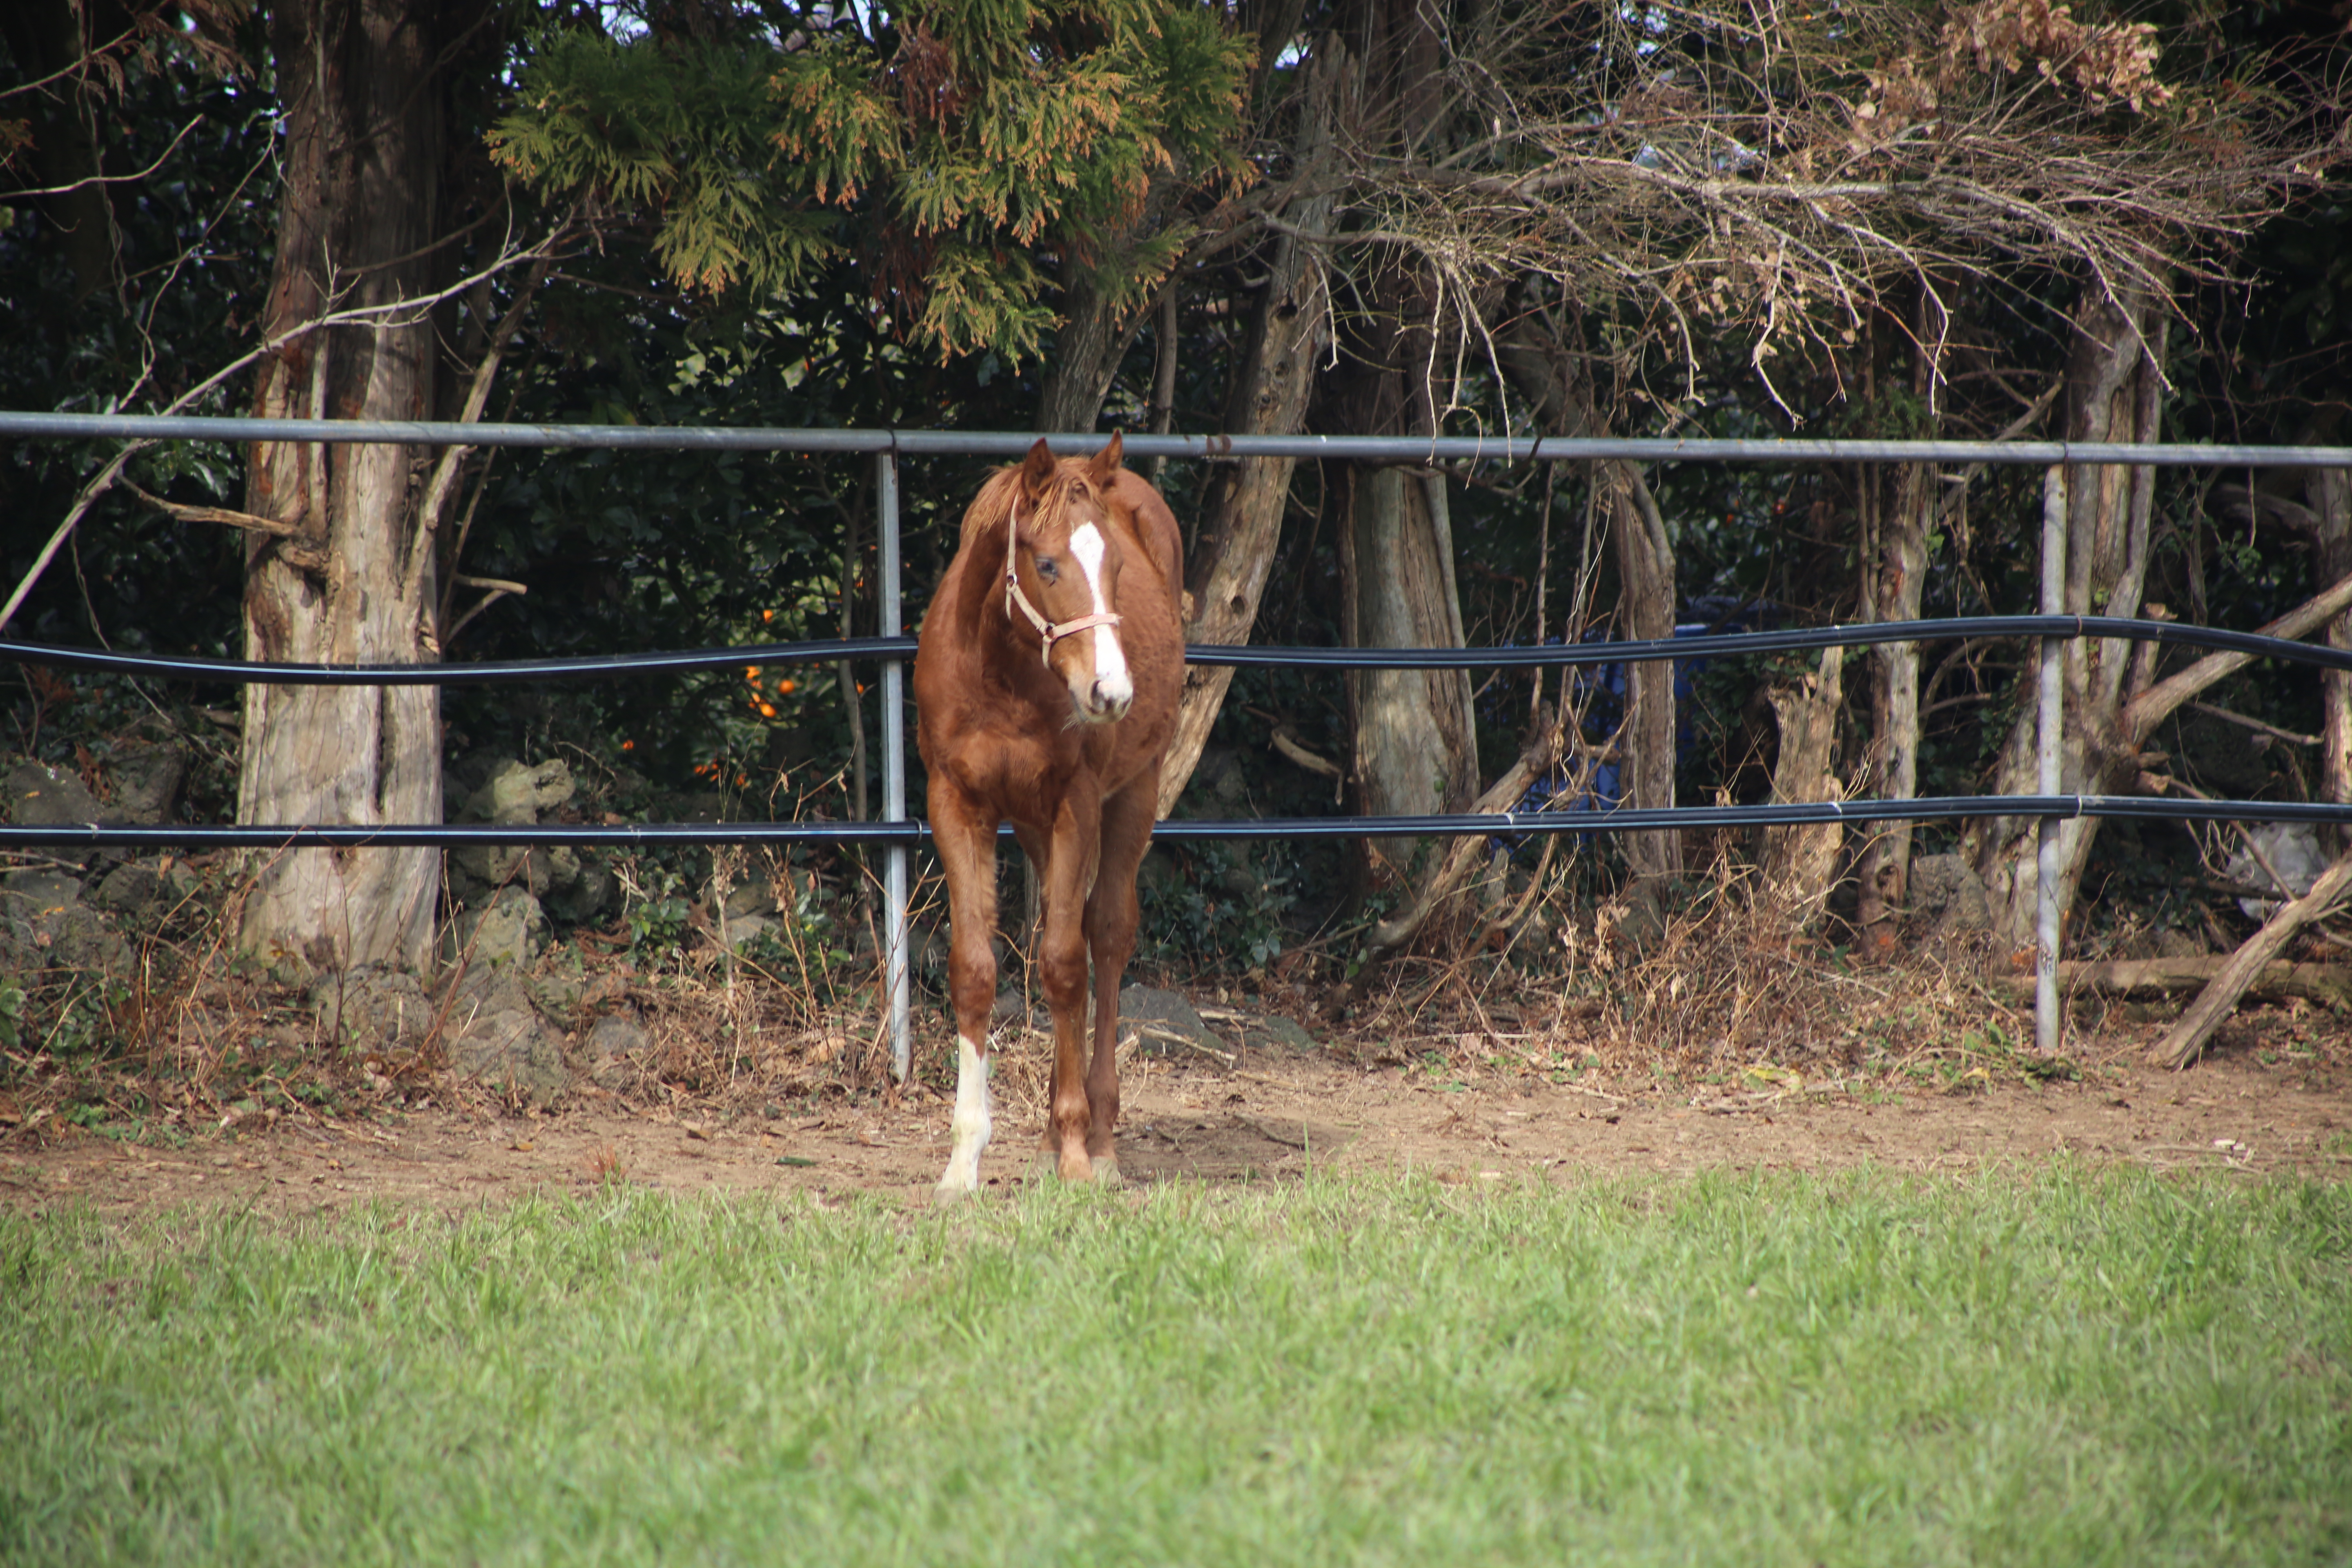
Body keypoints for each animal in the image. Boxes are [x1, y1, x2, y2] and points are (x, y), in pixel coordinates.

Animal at [908, 435, 1185, 1194]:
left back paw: (1101, 1138)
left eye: (1117, 566)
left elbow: (1065, 966)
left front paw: (1076, 1153)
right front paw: (963, 1163)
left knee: (1106, 938)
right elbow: (977, 970)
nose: (1110, 692)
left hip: (1135, 793)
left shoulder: (1076, 803)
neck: (1000, 675)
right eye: (1048, 564)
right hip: (1032, 827)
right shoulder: (956, 805)